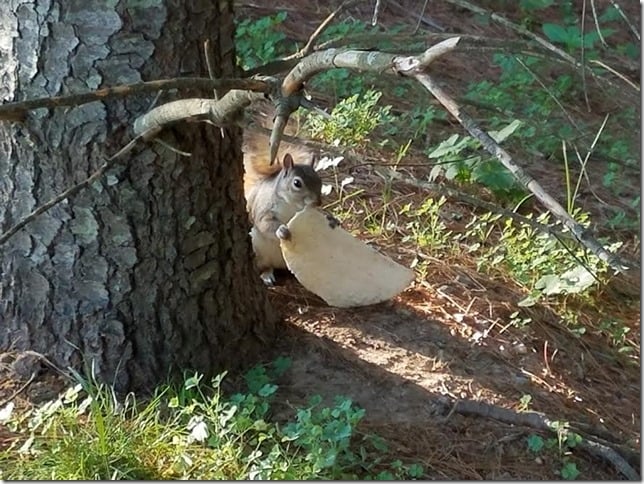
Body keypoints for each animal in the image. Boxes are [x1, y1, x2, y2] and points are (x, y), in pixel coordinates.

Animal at [242, 130, 322, 288]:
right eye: (297, 183)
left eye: (320, 180)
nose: (318, 202)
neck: (292, 205)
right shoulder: (264, 208)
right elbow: (265, 224)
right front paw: (282, 230)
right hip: (257, 252)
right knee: (265, 266)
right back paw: (266, 275)